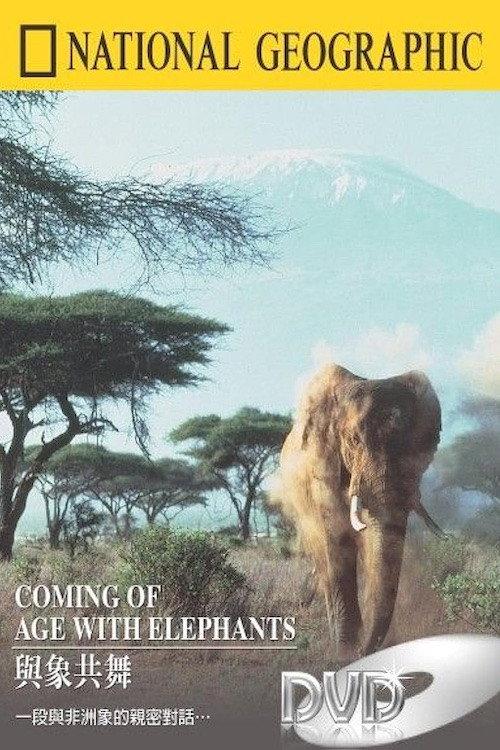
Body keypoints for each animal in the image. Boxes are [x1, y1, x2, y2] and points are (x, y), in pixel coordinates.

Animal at [272, 363, 443, 656]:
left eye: (415, 448)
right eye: (353, 440)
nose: (365, 651)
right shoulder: (323, 465)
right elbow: (336, 542)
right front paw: (344, 651)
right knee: (322, 556)